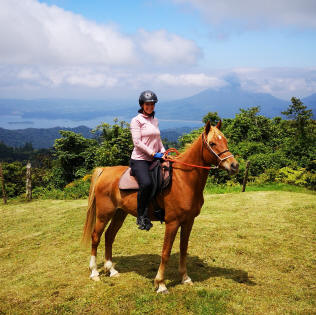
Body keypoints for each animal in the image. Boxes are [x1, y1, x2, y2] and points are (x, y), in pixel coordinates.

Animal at [82, 121, 238, 294]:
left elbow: (183, 249)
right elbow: (166, 252)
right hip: (104, 214)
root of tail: (105, 171)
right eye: (212, 143)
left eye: (225, 141)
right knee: (96, 237)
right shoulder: (172, 222)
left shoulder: (188, 221)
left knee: (109, 236)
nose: (234, 165)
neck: (184, 180)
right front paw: (161, 283)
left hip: (119, 213)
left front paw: (185, 278)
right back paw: (94, 272)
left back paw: (111, 270)